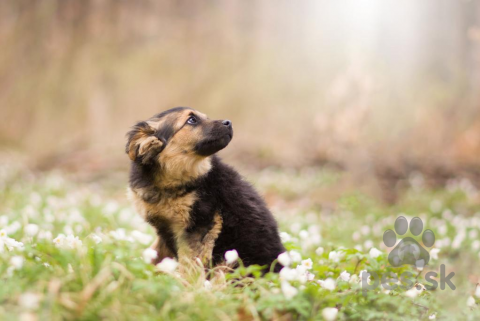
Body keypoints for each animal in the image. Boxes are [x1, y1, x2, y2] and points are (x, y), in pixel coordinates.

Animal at [126, 107, 284, 270]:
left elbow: (188, 265)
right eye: (191, 120)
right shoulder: (165, 229)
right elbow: (156, 255)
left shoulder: (198, 226)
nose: (229, 122)